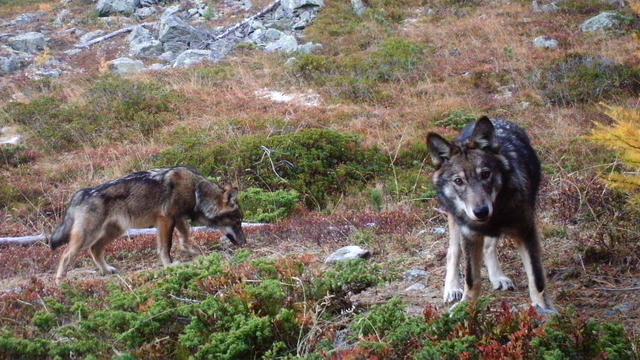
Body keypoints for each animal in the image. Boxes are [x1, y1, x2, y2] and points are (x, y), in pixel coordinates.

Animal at [49, 167, 245, 286]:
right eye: (237, 222)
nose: (245, 243)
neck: (196, 192)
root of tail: (81, 193)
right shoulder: (166, 219)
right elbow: (166, 247)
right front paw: (170, 266)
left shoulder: (178, 219)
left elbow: (185, 239)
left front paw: (194, 253)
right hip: (88, 236)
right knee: (65, 255)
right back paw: (59, 283)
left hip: (114, 232)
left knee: (95, 250)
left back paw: (106, 270)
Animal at [428, 116, 552, 310]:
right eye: (458, 181)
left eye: (485, 174)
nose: (481, 212)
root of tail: (497, 118)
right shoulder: (470, 236)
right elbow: (471, 280)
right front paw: (465, 308)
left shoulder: (527, 233)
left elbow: (536, 279)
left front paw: (541, 309)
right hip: (455, 221)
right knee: (452, 252)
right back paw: (452, 288)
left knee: (488, 247)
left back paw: (498, 278)